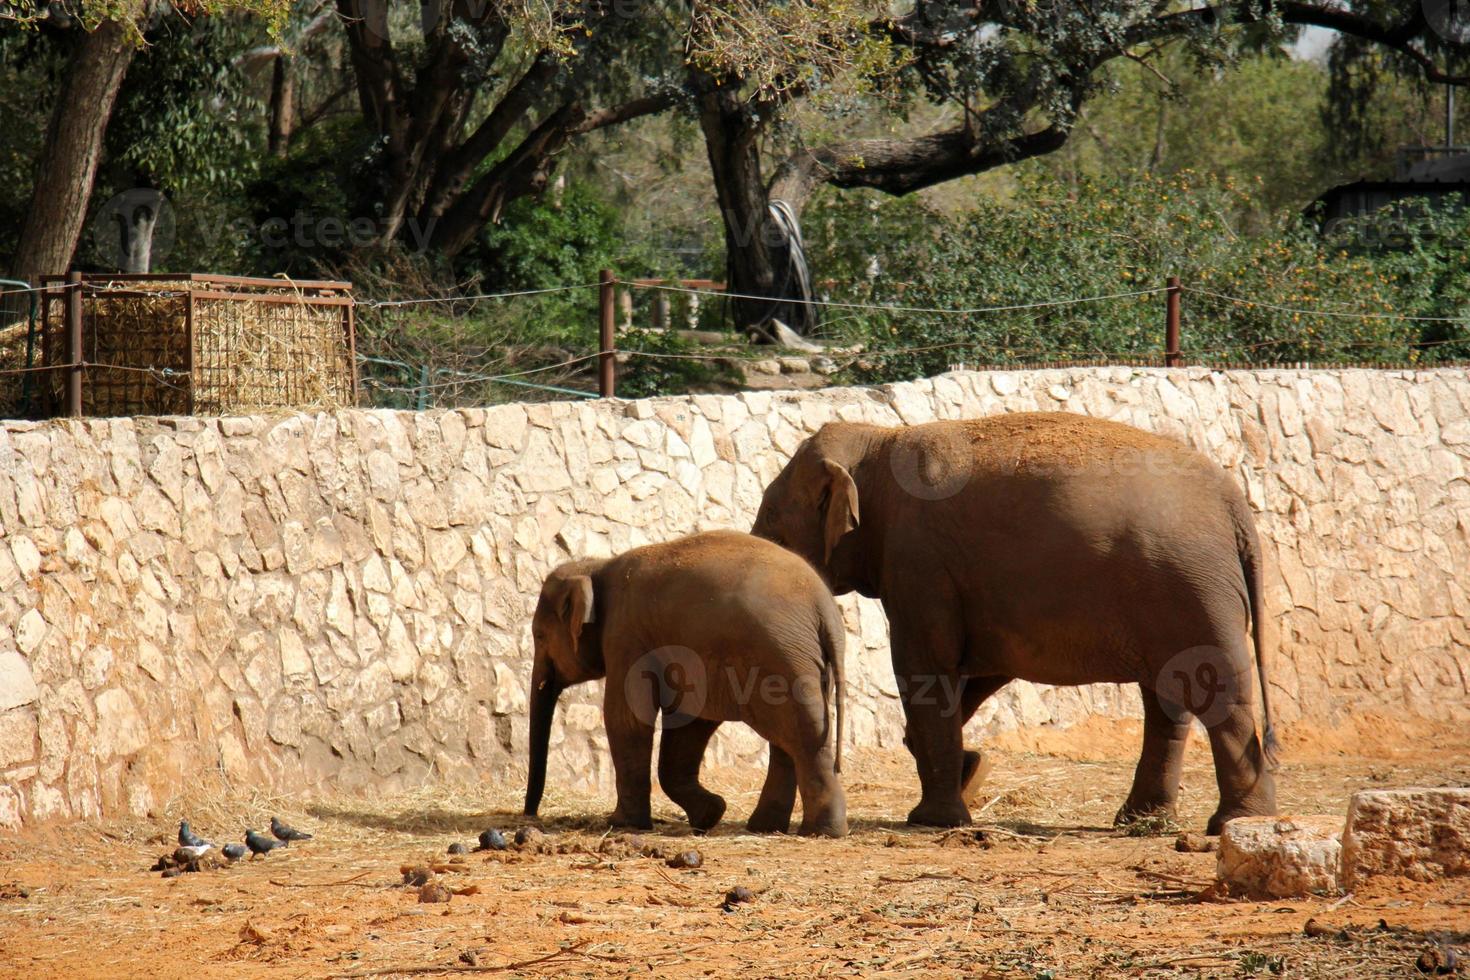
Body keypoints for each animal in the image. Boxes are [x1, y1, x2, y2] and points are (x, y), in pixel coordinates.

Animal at [526, 528, 852, 834]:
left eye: (539, 636)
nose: (530, 814)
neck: (596, 566)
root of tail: (824, 610)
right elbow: (688, 722)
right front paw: (710, 814)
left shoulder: (626, 636)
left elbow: (628, 718)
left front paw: (622, 823)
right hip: (800, 662)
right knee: (791, 741)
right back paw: (766, 827)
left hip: (780, 659)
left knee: (803, 736)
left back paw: (821, 831)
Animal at [752, 414, 1281, 834]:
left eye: (772, 517)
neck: (877, 441)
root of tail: (1236, 507)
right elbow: (981, 668)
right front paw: (966, 770)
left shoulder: (919, 562)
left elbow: (924, 665)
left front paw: (934, 819)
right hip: (1175, 594)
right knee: (1169, 699)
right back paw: (1145, 822)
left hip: (1191, 589)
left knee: (1214, 693)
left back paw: (1234, 823)